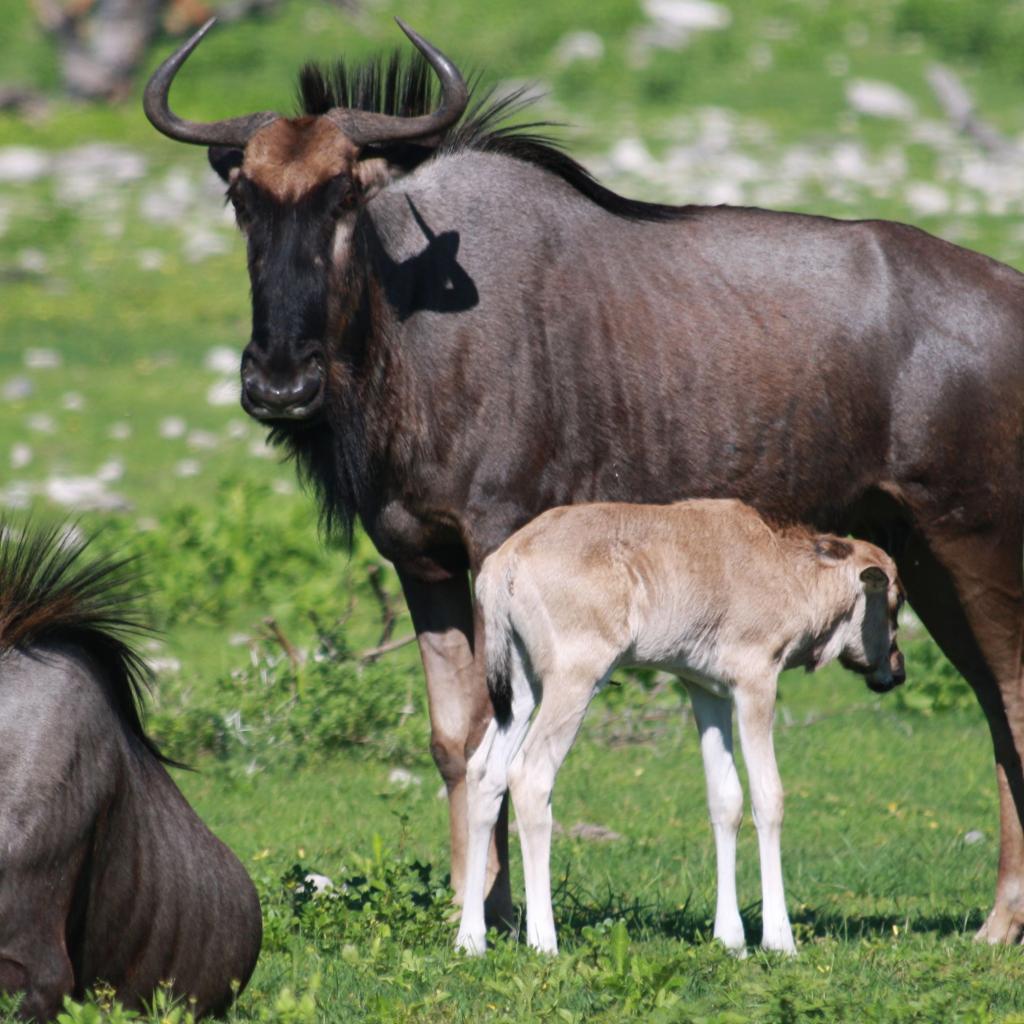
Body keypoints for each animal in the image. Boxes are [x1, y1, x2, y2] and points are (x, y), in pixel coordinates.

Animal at [456, 499, 905, 954]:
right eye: (896, 601)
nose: (896, 671)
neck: (782, 567)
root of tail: (506, 562)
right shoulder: (756, 683)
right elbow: (768, 798)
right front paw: (779, 940)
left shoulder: (707, 691)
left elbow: (726, 799)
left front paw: (730, 939)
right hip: (575, 682)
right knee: (530, 775)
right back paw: (544, 941)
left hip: (522, 689)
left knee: (484, 771)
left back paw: (470, 939)